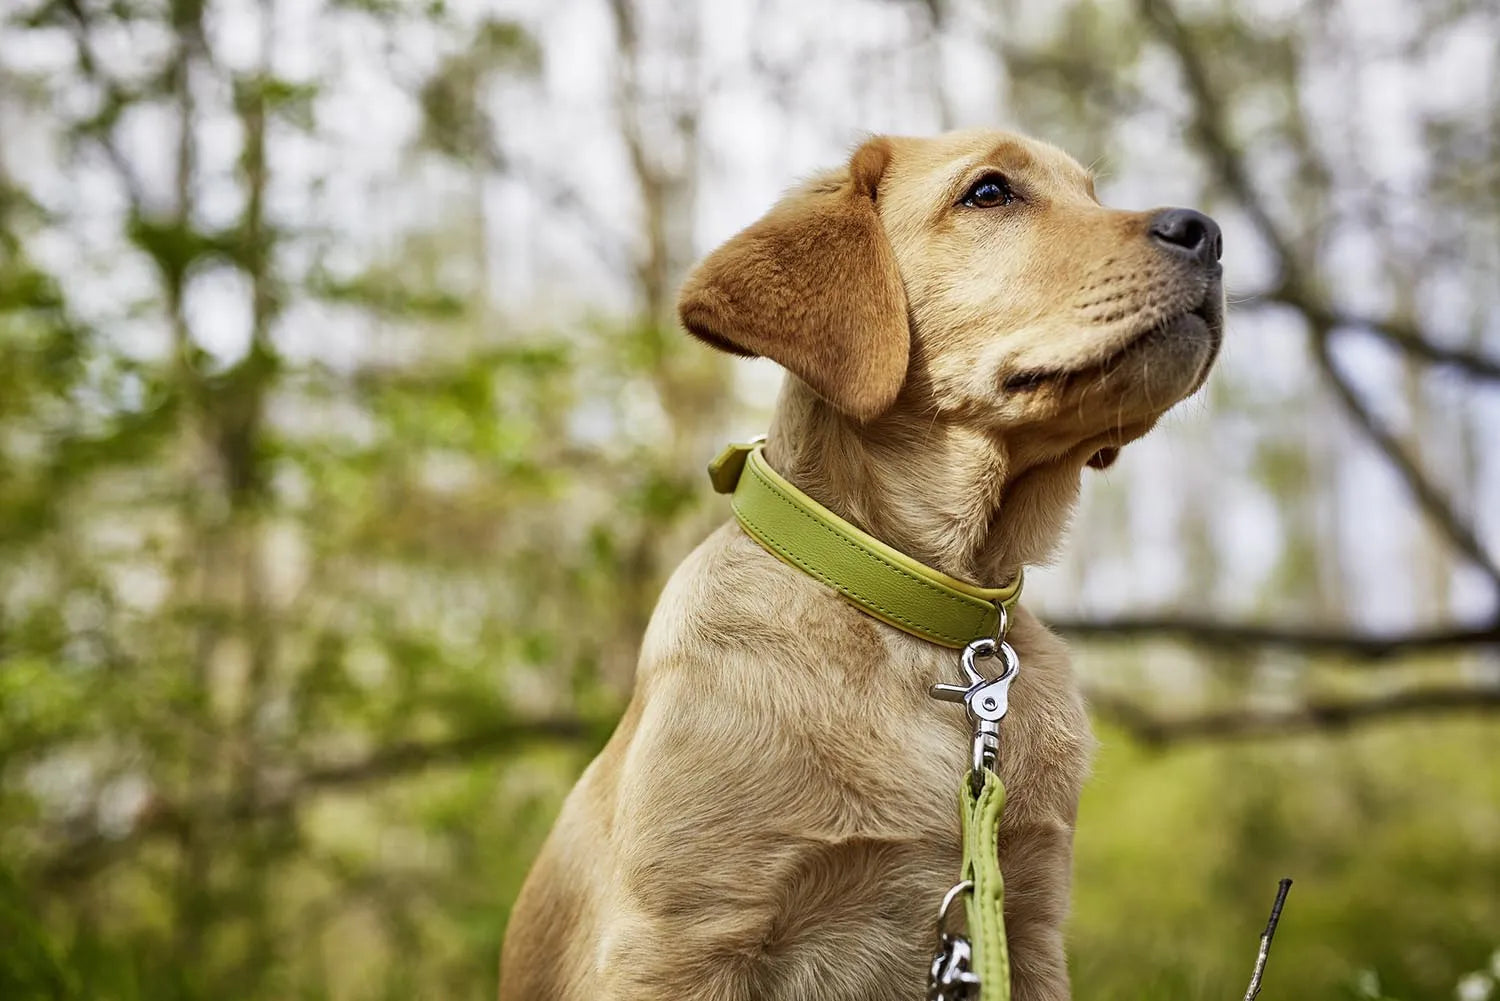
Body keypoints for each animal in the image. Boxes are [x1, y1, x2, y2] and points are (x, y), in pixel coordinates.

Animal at [498, 127, 1224, 1001]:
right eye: (989, 192)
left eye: (1091, 192)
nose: (1208, 232)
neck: (926, 619)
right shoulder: (678, 940)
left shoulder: (1026, 924)